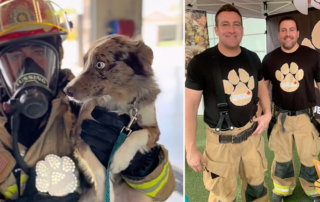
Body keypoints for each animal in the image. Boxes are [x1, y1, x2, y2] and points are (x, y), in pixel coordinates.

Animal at [64, 35, 161, 202]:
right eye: (85, 62)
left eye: (100, 64)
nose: (66, 90)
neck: (118, 99)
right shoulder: (79, 136)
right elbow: (99, 170)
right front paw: (105, 192)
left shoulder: (154, 129)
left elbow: (137, 134)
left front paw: (120, 159)